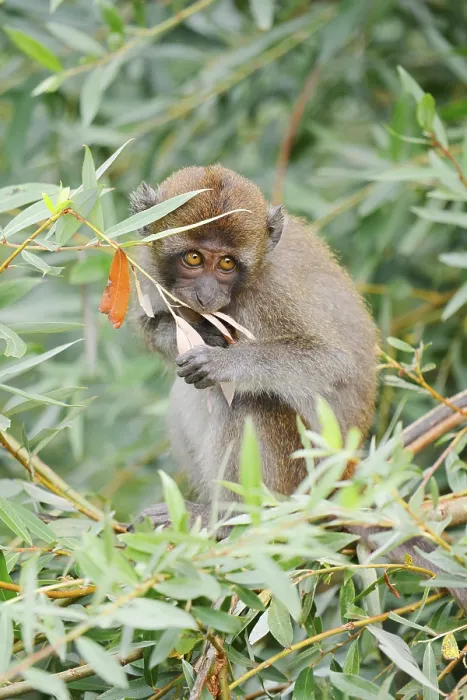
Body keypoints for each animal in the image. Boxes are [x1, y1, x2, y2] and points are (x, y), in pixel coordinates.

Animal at [130, 165, 467, 610]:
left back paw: (230, 520)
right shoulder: (145, 267)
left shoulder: (273, 292)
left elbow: (329, 362)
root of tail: (342, 477)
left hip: (303, 475)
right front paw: (200, 332)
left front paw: (223, 361)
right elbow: (148, 326)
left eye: (226, 263)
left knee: (247, 402)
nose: (206, 295)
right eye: (193, 258)